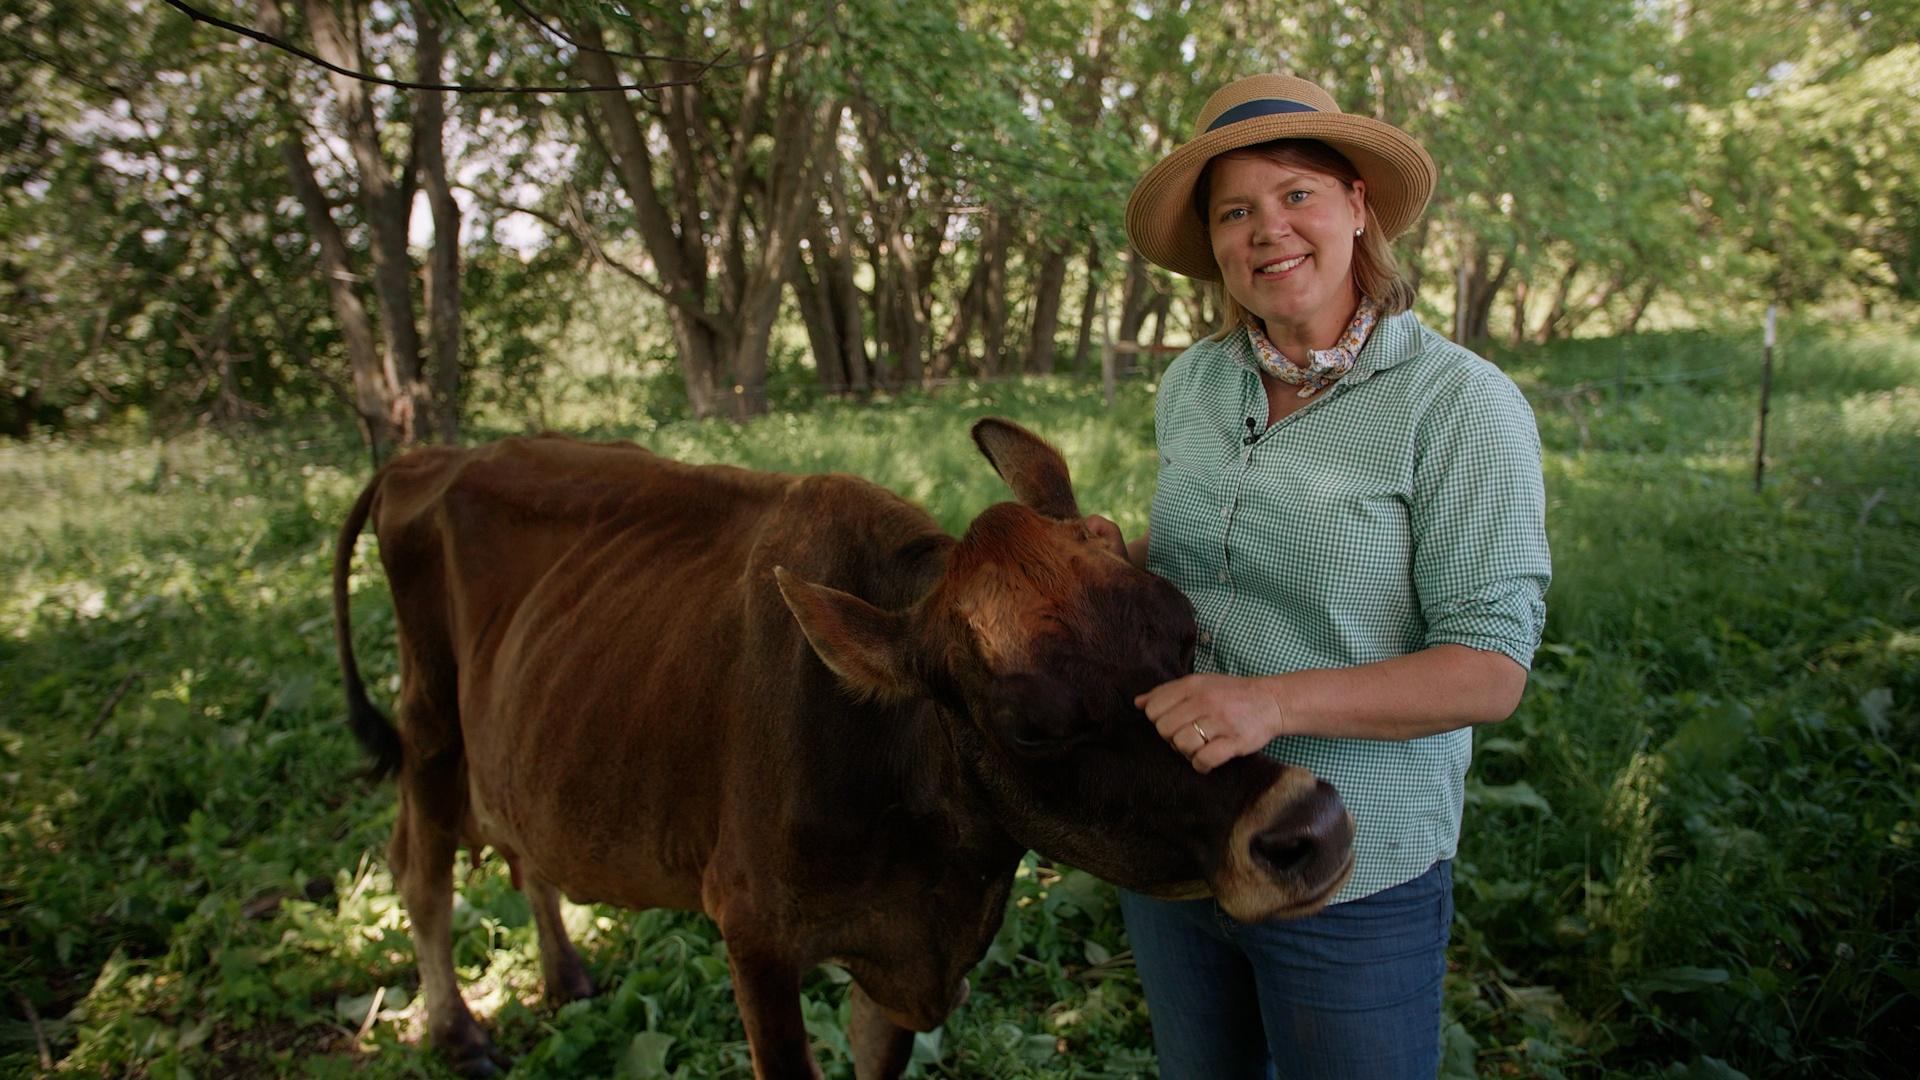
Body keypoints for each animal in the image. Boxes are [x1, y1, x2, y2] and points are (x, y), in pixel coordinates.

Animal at [334, 418, 1351, 1076]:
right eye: (1026, 724)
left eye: (1184, 628)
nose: (1308, 827)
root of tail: (430, 455)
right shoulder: (752, 930)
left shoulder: (904, 966)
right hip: (429, 722)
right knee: (418, 868)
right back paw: (456, 1030)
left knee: (519, 843)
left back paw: (565, 974)